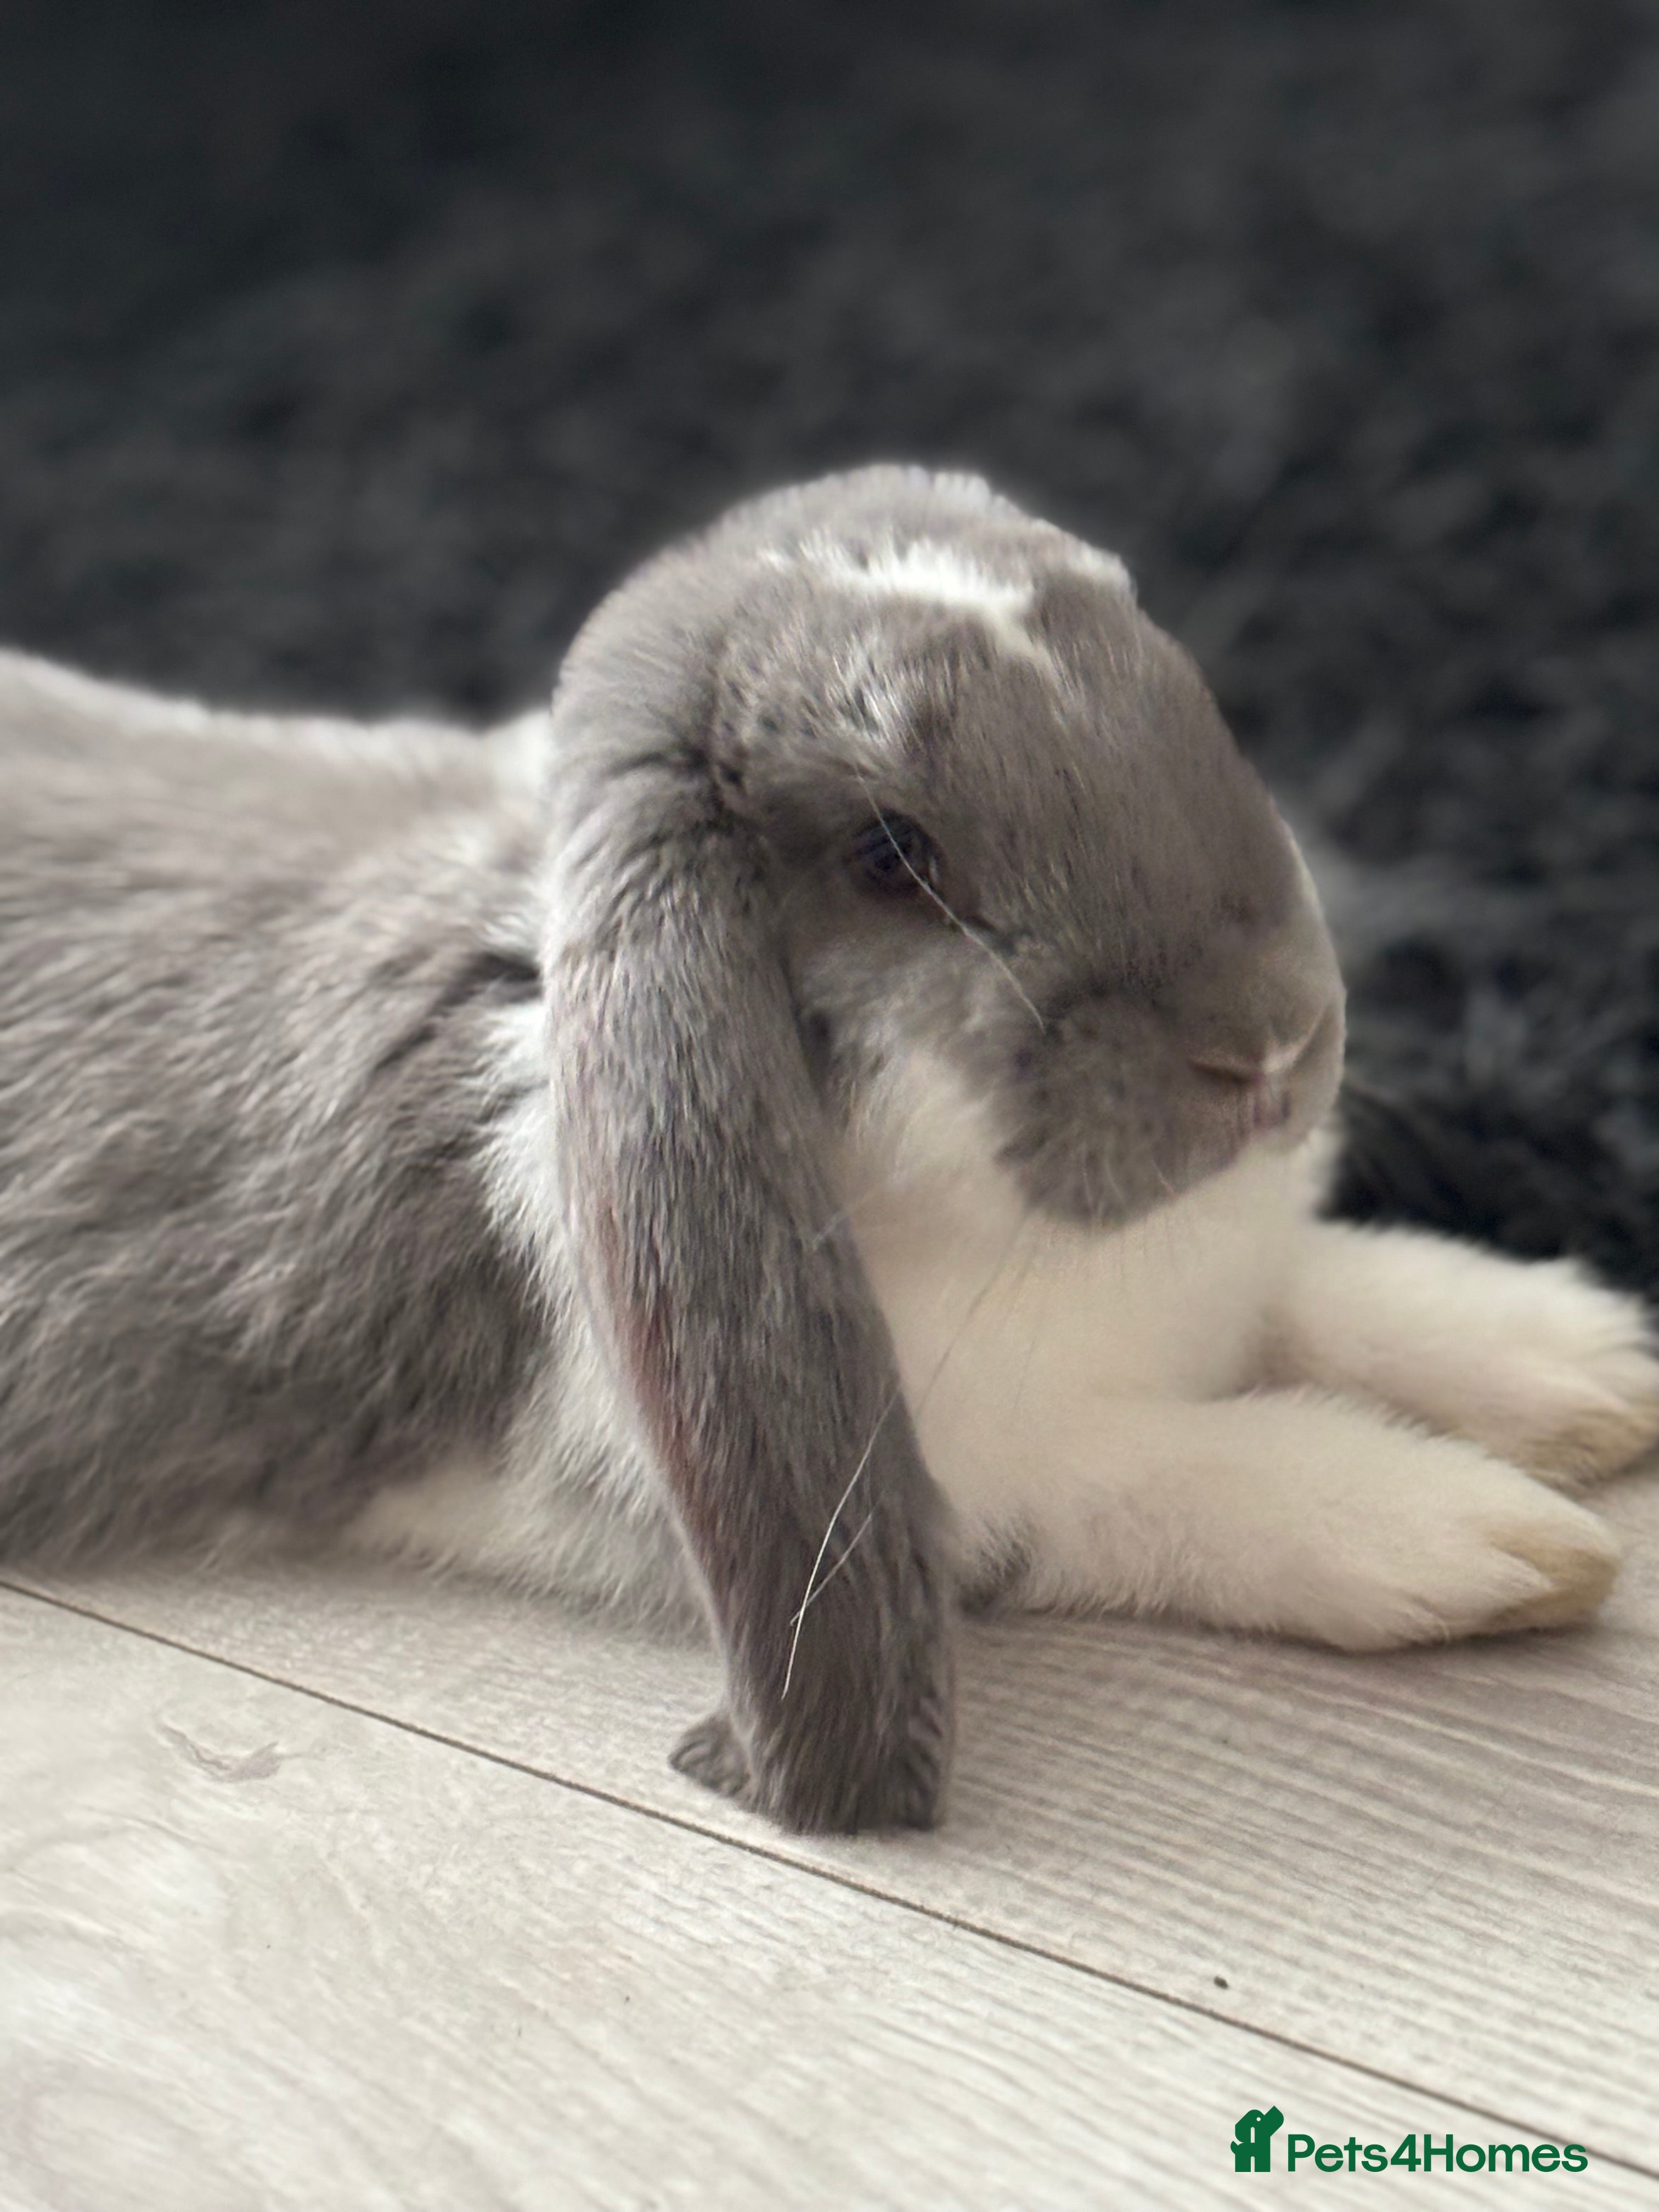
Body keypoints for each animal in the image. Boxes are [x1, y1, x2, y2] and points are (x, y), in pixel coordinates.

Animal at [2, 465, 1656, 1837]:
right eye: (890, 857)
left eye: (1185, 701)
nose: (1267, 1050)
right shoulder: (978, 1471)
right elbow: (1175, 1469)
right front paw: (1484, 1539)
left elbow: (1320, 1290)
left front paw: (1585, 1363)